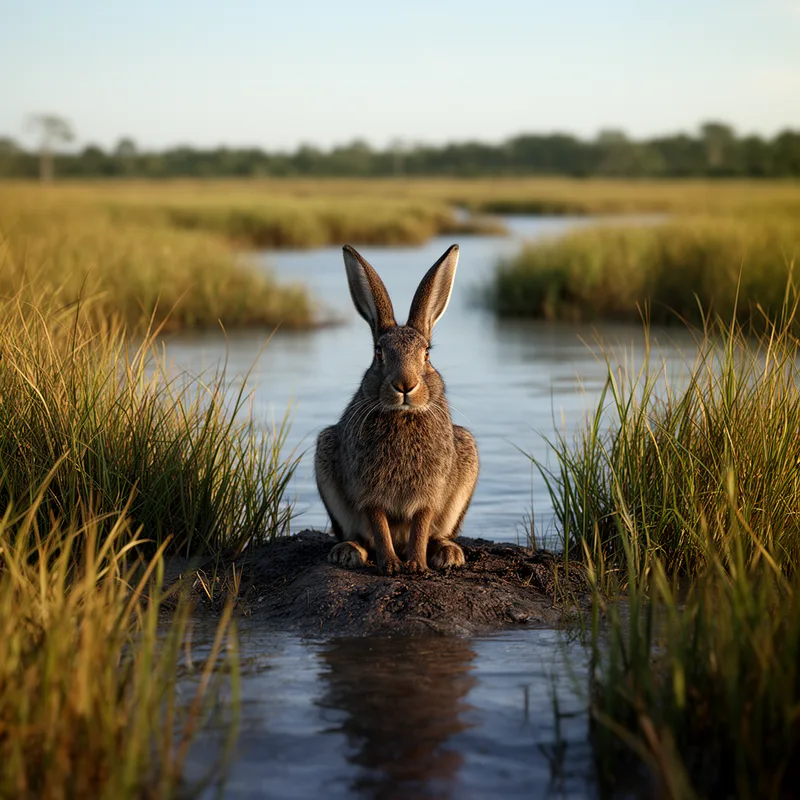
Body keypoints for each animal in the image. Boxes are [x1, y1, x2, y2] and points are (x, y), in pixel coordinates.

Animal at [315, 243, 479, 575]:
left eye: (426, 354)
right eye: (379, 353)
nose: (405, 385)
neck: (402, 415)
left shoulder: (429, 493)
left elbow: (421, 524)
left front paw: (415, 565)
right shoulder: (369, 492)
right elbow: (378, 525)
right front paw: (390, 565)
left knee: (436, 534)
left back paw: (447, 553)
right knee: (360, 536)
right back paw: (348, 551)